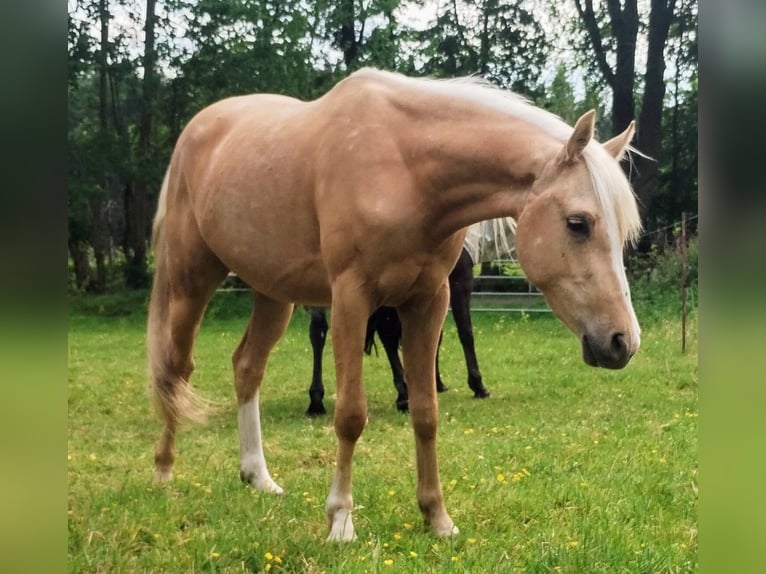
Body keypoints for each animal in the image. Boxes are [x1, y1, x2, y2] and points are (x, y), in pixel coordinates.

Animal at [306, 218, 516, 416]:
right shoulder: (460, 276)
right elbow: (464, 332)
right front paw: (478, 385)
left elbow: (433, 337)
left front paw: (436, 383)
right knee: (384, 334)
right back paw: (402, 395)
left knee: (319, 331)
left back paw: (316, 401)